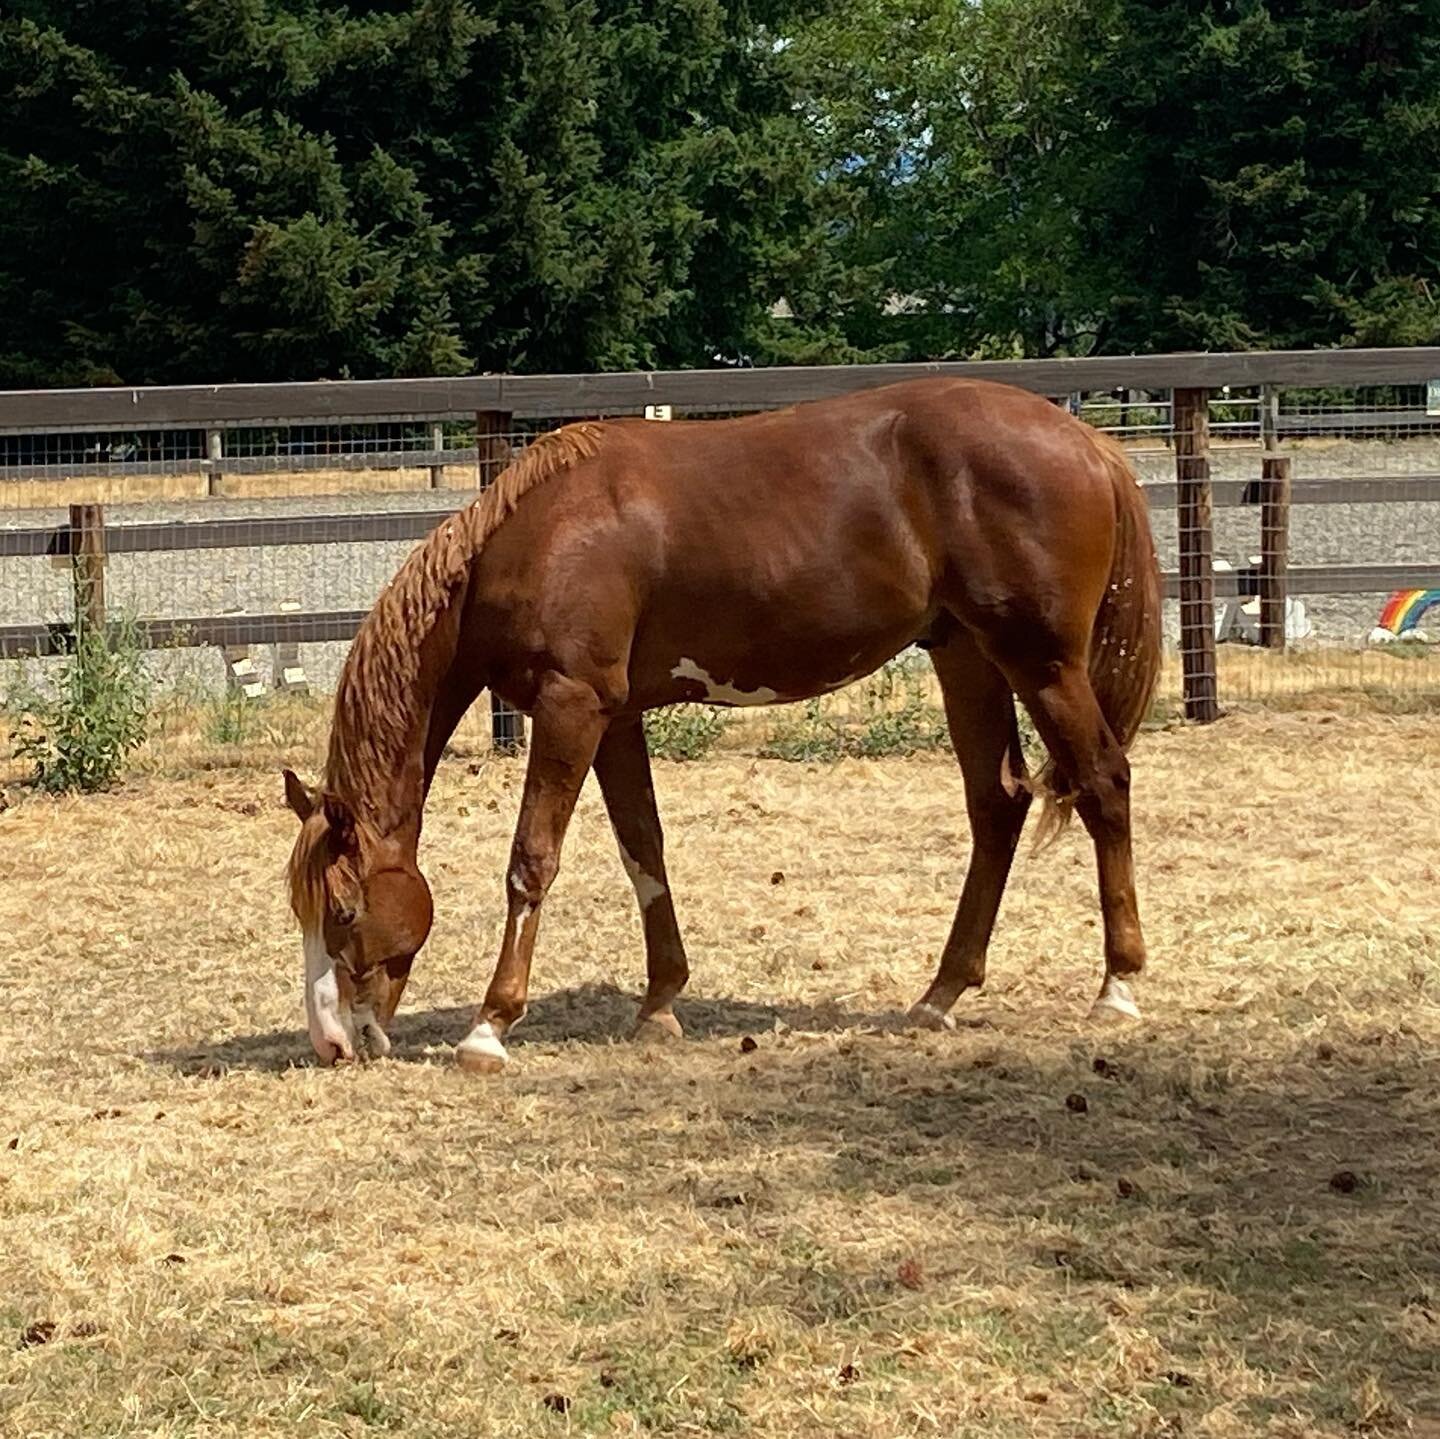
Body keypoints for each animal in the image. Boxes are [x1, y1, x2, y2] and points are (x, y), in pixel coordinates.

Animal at [286, 377, 1163, 1077]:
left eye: (345, 910)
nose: (331, 1042)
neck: (538, 535)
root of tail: (1087, 440)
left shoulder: (571, 706)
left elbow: (532, 860)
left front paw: (489, 1026)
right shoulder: (614, 717)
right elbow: (643, 849)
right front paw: (660, 1004)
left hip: (1043, 664)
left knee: (1104, 783)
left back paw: (1117, 988)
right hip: (966, 656)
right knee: (998, 804)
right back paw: (940, 993)